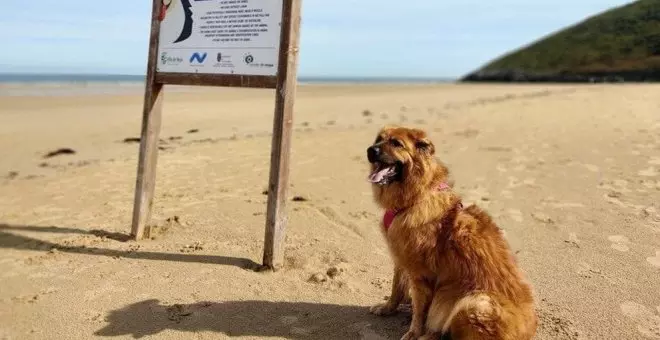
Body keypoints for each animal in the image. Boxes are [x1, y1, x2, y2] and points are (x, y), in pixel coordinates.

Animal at [364, 125, 540, 340]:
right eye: (378, 140)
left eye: (396, 143)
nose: (370, 151)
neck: (416, 197)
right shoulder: (401, 258)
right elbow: (396, 287)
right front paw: (388, 308)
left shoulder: (420, 273)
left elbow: (420, 310)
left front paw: (413, 332)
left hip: (474, 302)